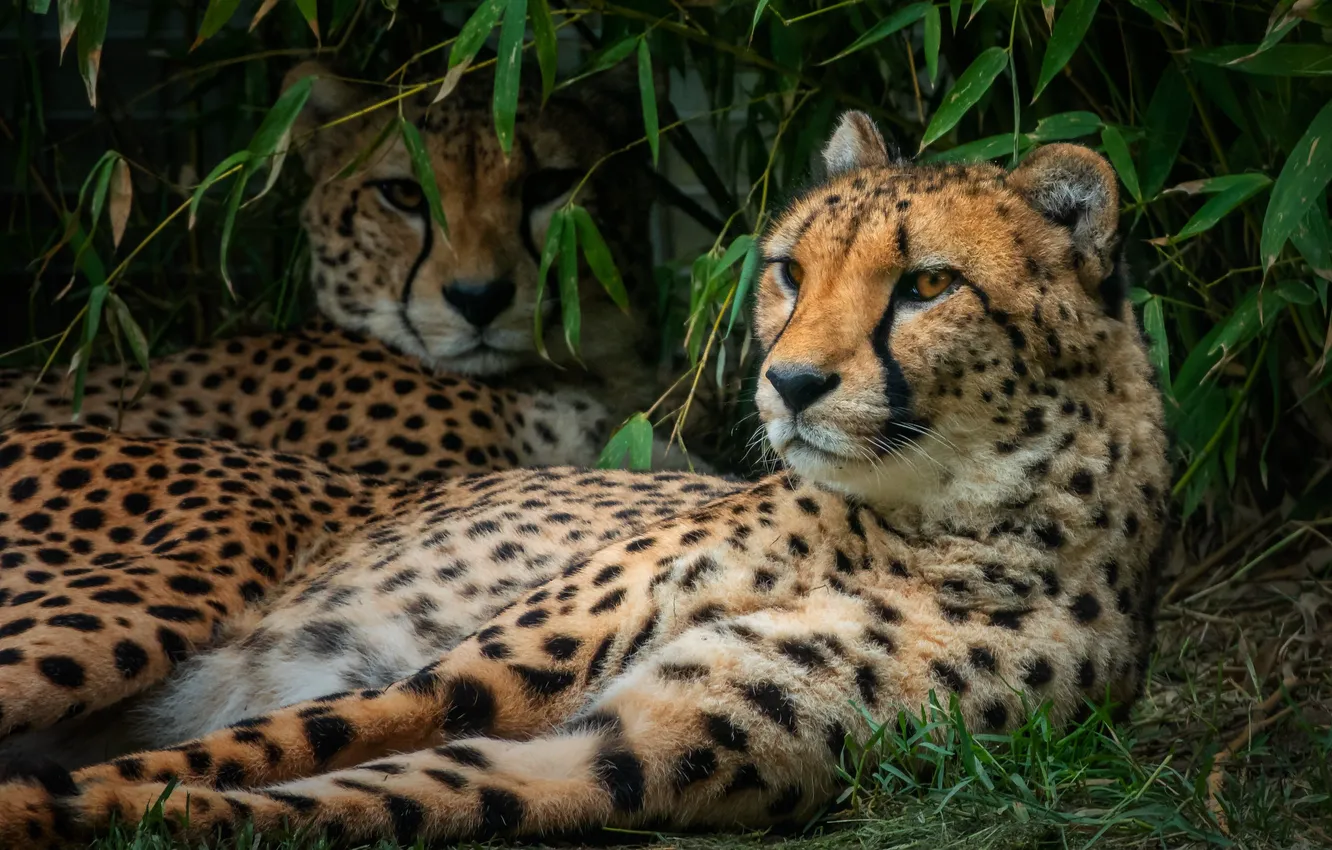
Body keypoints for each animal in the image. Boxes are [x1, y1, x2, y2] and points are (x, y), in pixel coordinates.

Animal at [0, 112, 1171, 848]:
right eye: (791, 271)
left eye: (928, 284)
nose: (790, 383)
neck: (934, 517)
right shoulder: (475, 678)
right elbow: (258, 748)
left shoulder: (613, 752)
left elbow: (272, 793)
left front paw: (53, 807)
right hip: (143, 596)